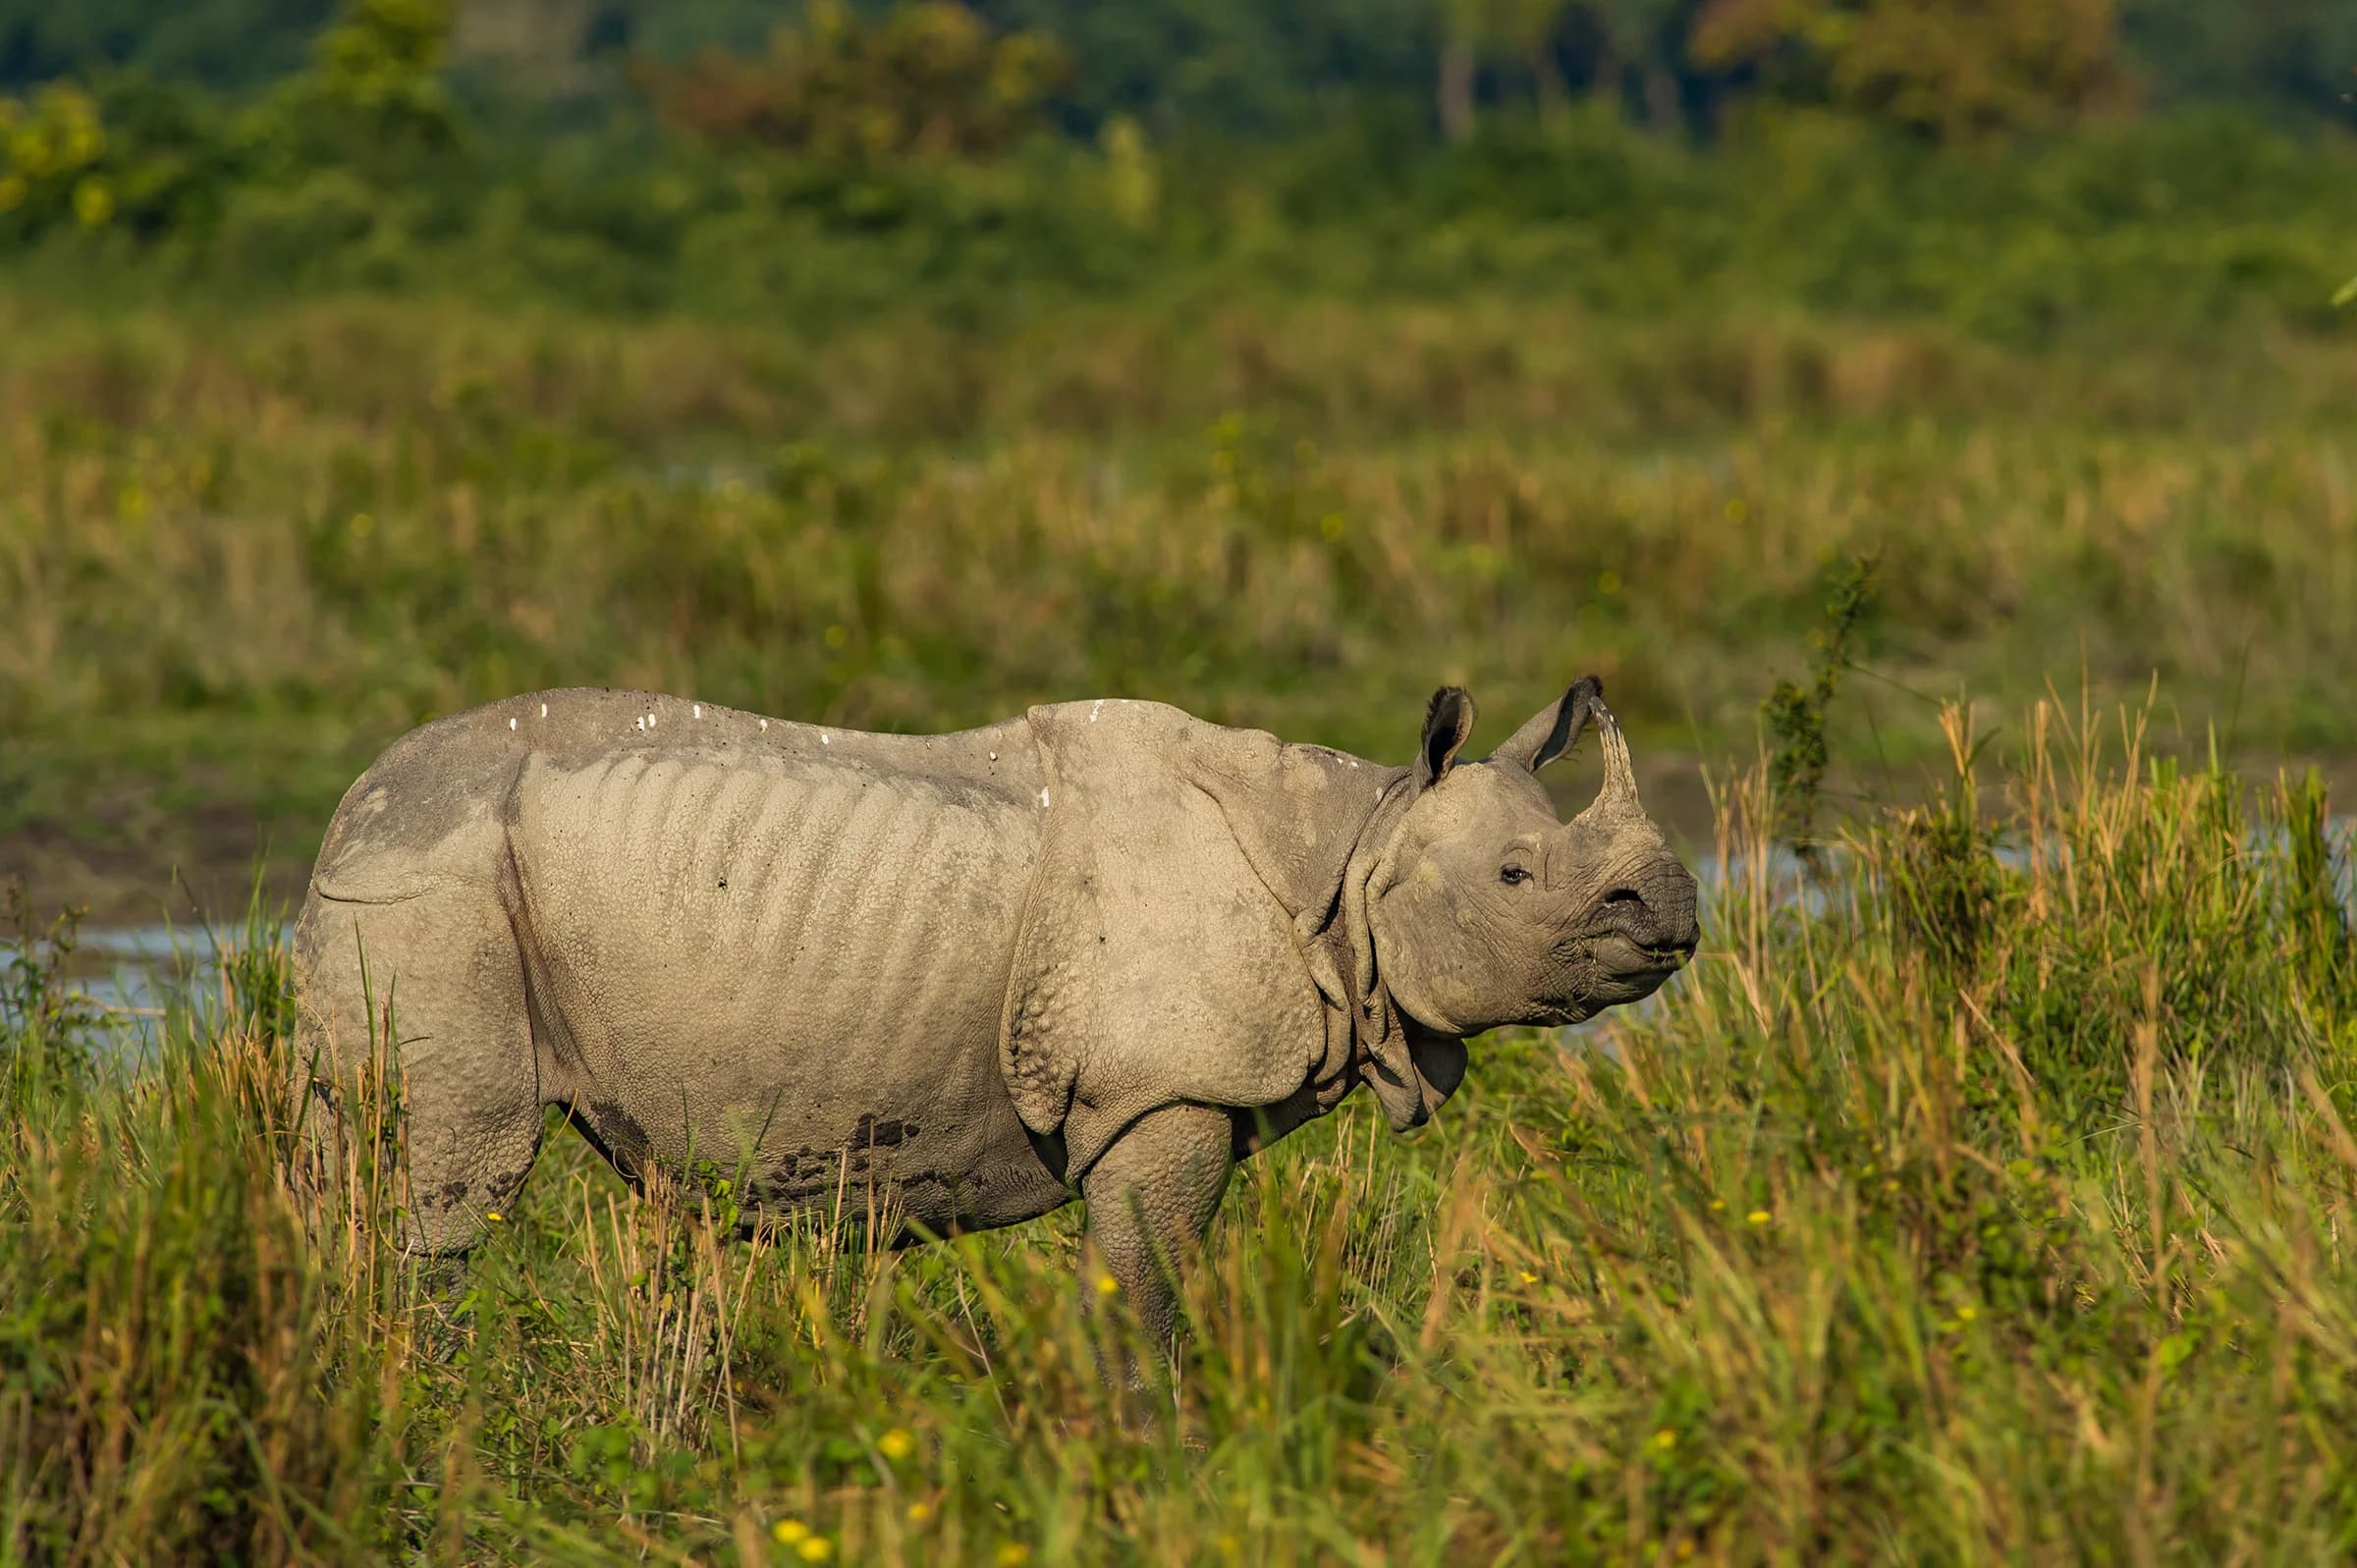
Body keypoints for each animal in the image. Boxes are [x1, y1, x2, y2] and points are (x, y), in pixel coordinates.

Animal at [291, 678, 1699, 1347]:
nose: (1678, 914)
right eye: (1517, 879)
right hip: (436, 883)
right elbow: (1146, 1286)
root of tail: (347, 803)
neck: (1360, 846)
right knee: (448, 1190)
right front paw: (1151, 1454)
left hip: (418, 878)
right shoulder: (1159, 1086)